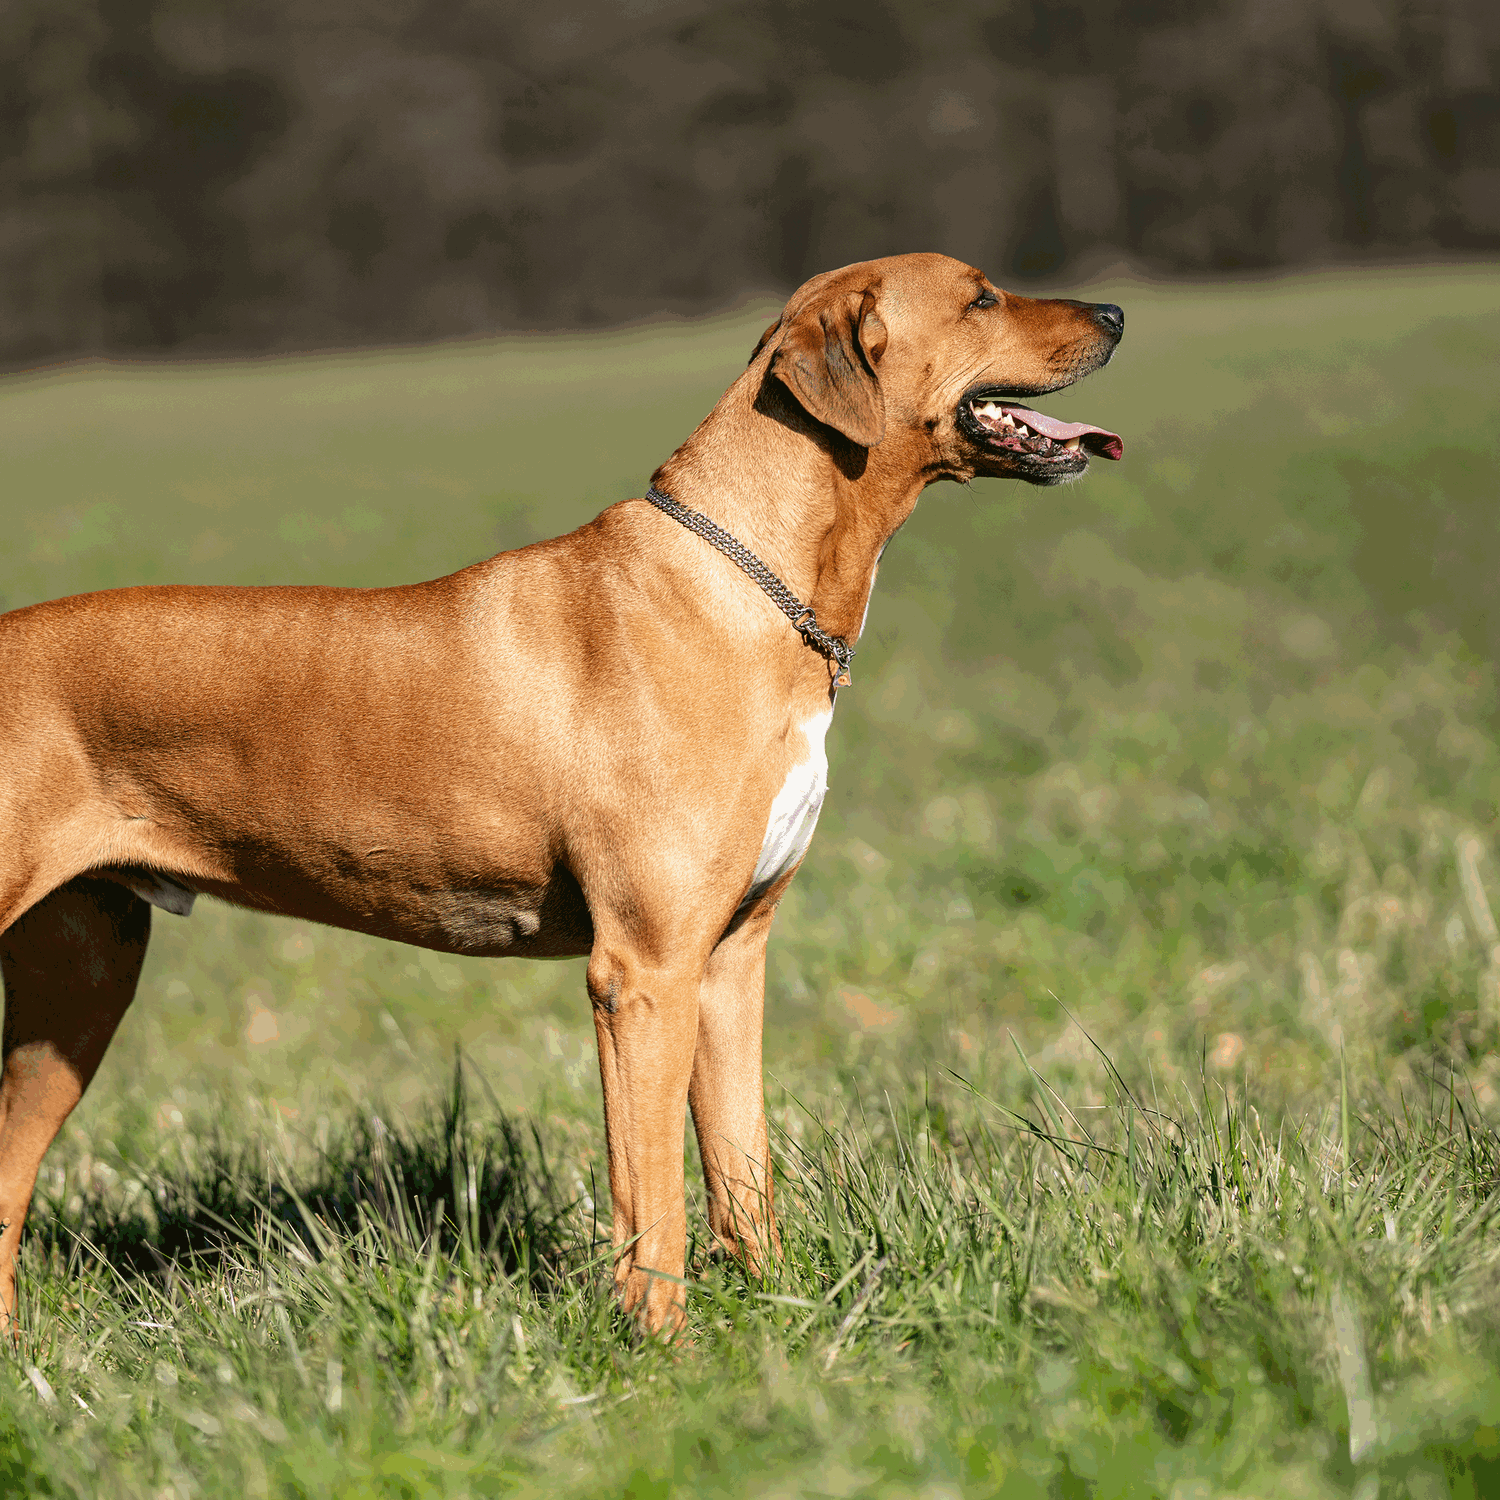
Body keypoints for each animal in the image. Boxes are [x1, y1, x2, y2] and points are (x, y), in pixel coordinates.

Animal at [0, 252, 1122, 1332]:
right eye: (981, 297)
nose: (1114, 313)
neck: (746, 586)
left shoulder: (729, 958)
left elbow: (742, 1171)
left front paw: (777, 1316)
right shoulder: (643, 972)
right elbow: (653, 1198)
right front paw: (660, 1351)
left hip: (81, 984)